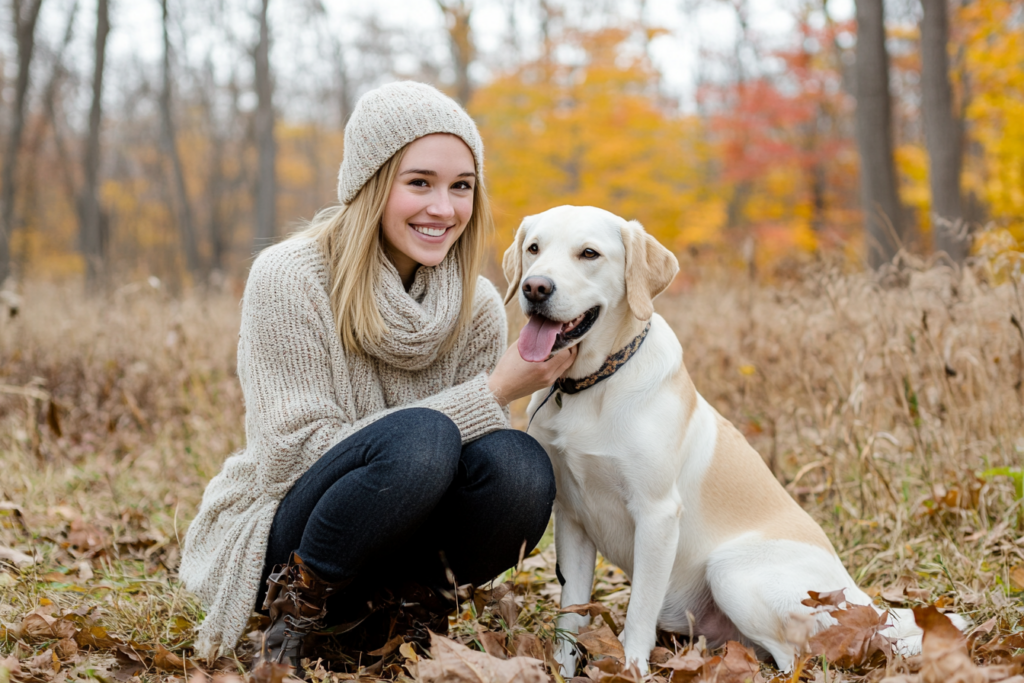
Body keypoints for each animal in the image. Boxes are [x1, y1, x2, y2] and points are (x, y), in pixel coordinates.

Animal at [503, 204, 958, 679]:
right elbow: (570, 612)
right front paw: (561, 668)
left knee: (794, 657)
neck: (590, 385)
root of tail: (859, 598)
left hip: (729, 571)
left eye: (589, 253)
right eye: (534, 248)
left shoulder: (657, 515)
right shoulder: (572, 518)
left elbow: (639, 611)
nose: (536, 287)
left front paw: (631, 669)